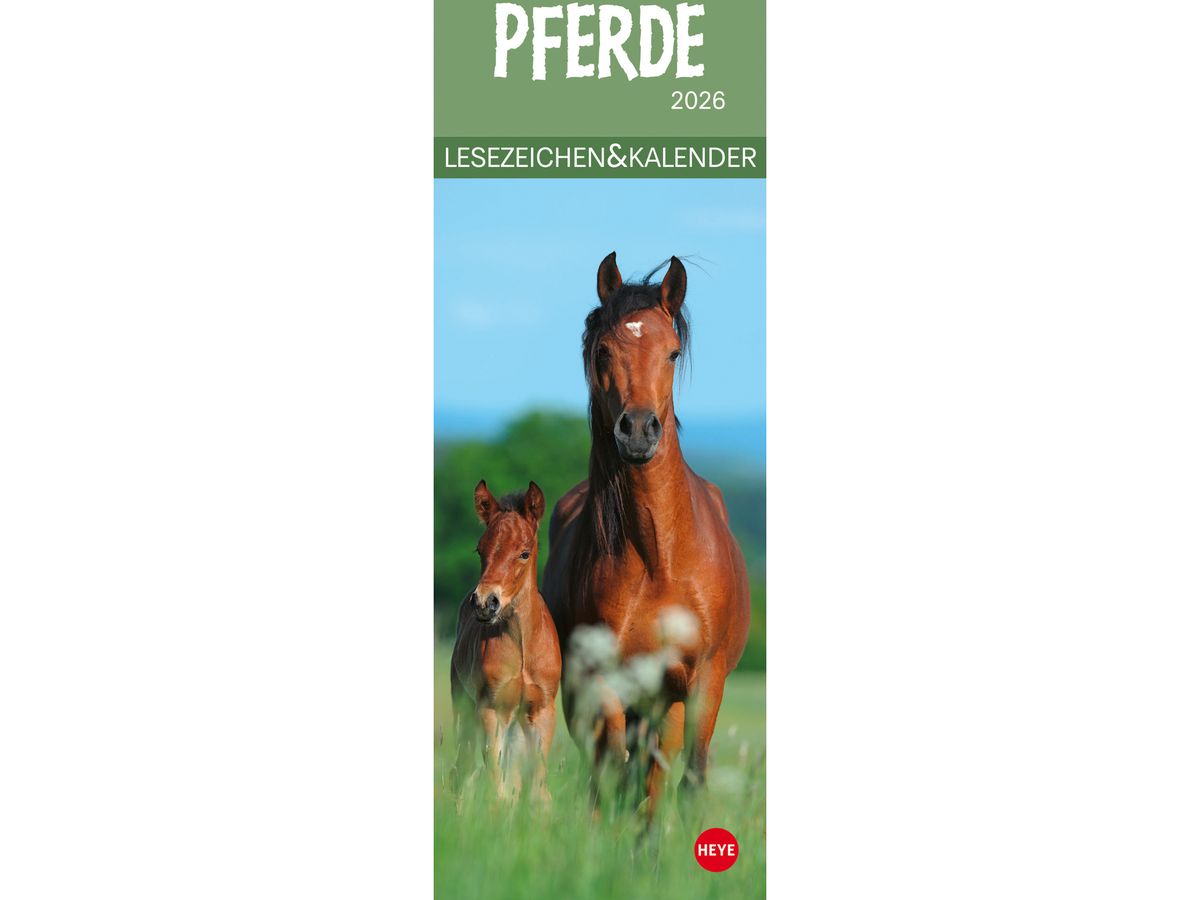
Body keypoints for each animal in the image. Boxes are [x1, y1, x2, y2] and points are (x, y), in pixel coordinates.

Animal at [450, 480, 562, 804]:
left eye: (524, 553)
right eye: (479, 549)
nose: (485, 602)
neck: (524, 648)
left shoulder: (542, 710)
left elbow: (537, 787)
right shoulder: (491, 709)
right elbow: (496, 786)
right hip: (463, 705)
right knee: (463, 768)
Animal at [543, 252, 751, 816]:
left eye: (672, 352)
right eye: (605, 350)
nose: (638, 430)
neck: (660, 556)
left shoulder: (703, 682)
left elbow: (686, 777)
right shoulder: (603, 681)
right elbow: (615, 767)